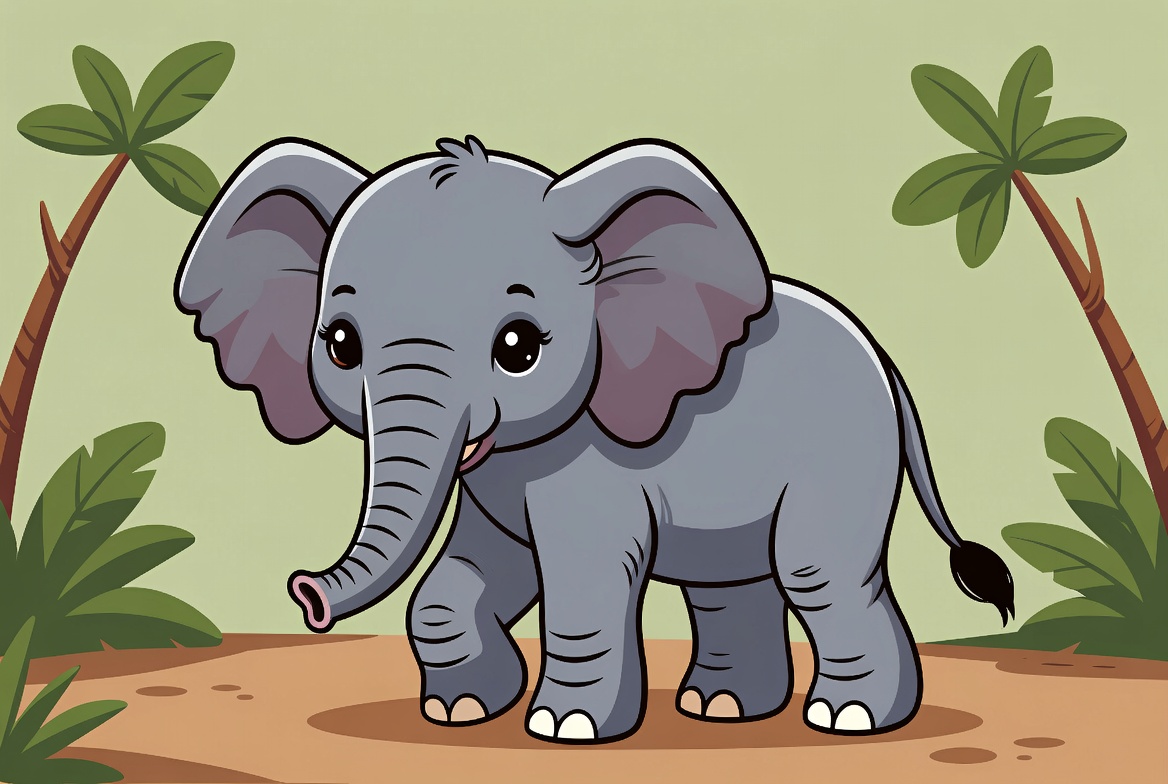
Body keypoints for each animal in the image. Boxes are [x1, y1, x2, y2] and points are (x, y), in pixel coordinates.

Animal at [175, 134, 1014, 744]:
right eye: (340, 345)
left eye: (519, 347)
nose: (306, 593)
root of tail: (884, 360)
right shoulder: (499, 475)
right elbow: (474, 572)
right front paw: (461, 712)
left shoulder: (591, 463)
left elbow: (580, 575)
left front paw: (563, 726)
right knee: (727, 584)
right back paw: (721, 709)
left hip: (842, 455)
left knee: (817, 573)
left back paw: (849, 719)